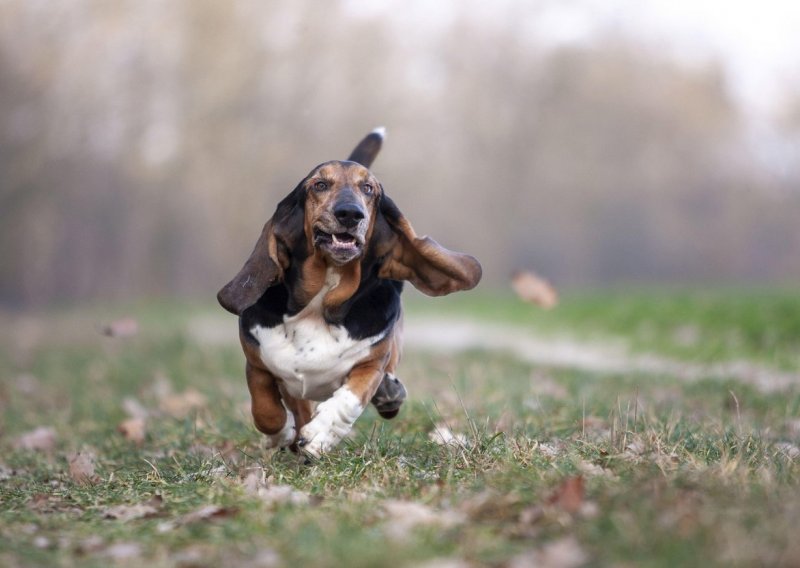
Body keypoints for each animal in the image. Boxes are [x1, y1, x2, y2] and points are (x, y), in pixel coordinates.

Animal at [217, 129, 482, 458]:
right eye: (320, 184)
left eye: (368, 188)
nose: (350, 214)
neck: (321, 300)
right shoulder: (257, 365)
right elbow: (266, 411)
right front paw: (280, 436)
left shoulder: (371, 363)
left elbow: (351, 397)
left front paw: (320, 434)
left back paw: (388, 393)